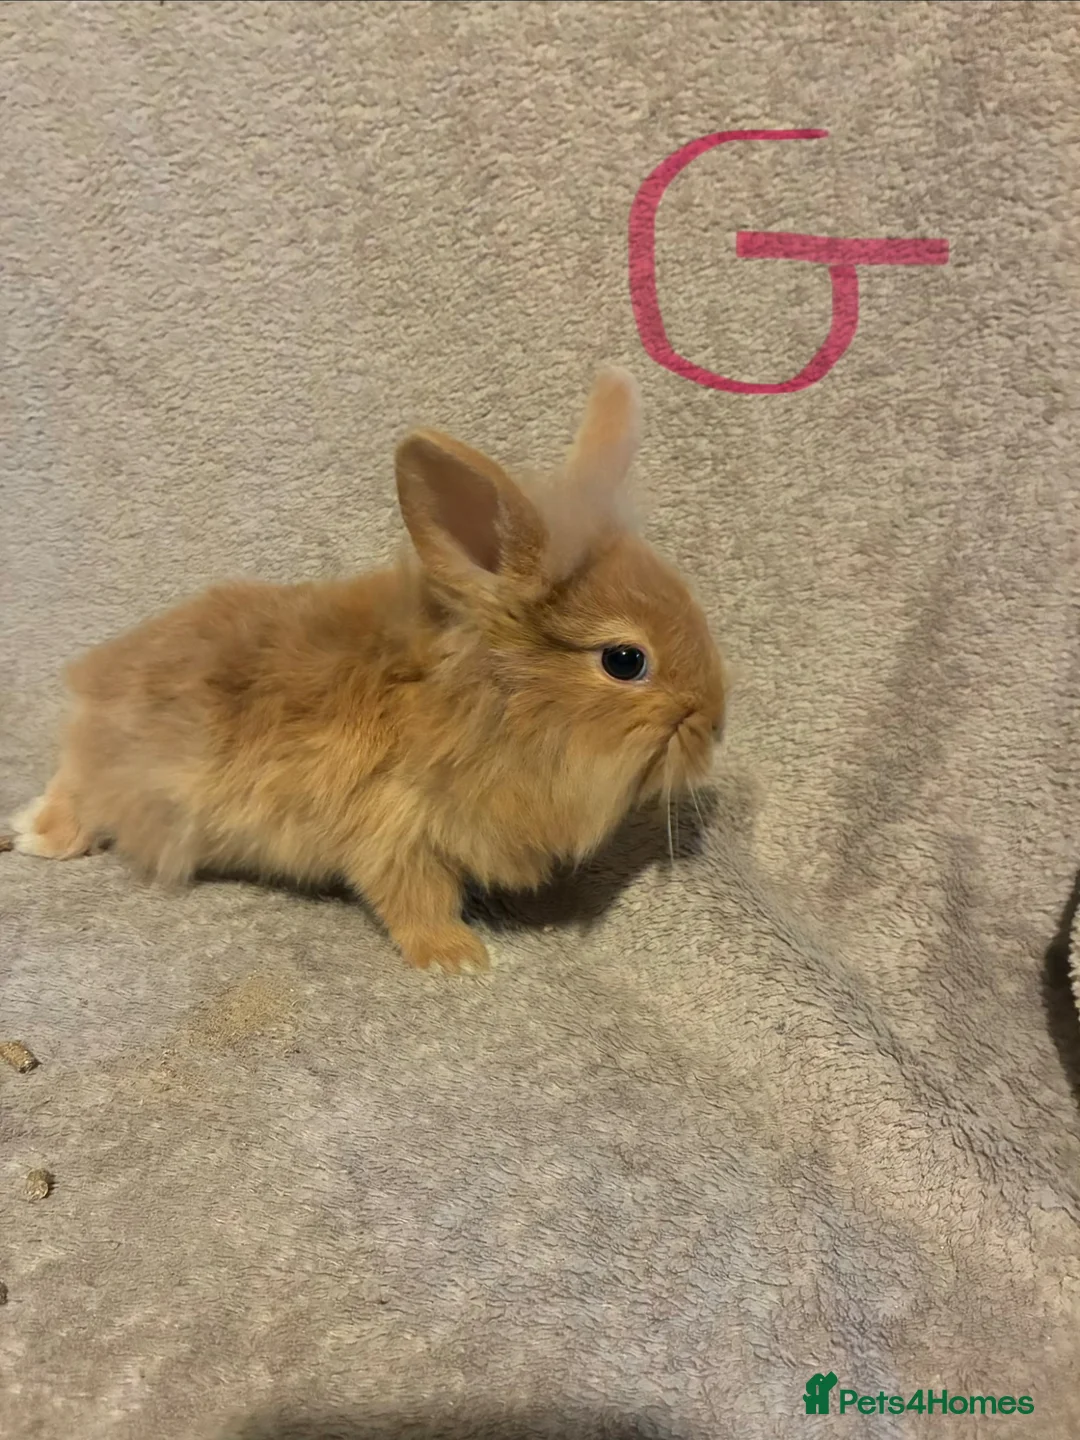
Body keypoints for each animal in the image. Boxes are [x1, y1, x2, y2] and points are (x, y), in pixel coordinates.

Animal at [11, 368, 725, 973]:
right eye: (625, 660)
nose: (716, 725)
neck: (476, 703)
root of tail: (95, 683)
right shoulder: (395, 830)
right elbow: (415, 899)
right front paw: (459, 958)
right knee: (76, 794)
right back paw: (34, 836)